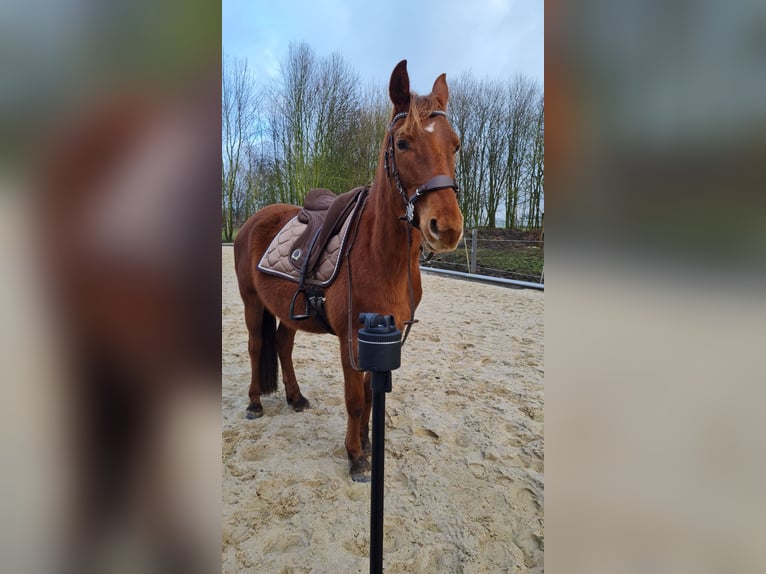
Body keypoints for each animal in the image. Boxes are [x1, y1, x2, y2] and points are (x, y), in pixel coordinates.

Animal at [233, 60, 464, 481]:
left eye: (454, 144)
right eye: (402, 143)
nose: (447, 227)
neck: (378, 255)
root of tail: (253, 220)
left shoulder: (385, 335)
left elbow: (372, 399)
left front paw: (369, 445)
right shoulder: (350, 339)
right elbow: (356, 399)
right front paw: (356, 456)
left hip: (287, 311)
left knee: (284, 345)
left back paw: (295, 397)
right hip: (251, 302)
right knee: (257, 345)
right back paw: (255, 403)